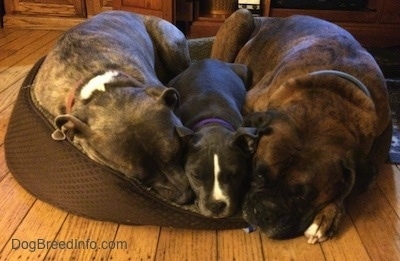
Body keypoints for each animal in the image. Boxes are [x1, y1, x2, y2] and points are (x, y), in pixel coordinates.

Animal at [211, 9, 392, 243]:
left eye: (303, 196)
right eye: (258, 174)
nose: (265, 211)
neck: (330, 92)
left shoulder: (383, 135)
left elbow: (349, 189)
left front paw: (329, 213)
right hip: (241, 17)